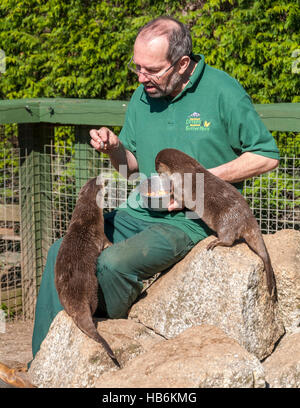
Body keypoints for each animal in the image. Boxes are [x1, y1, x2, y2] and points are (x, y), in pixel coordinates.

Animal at [54, 177, 120, 368]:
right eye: (103, 181)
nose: (104, 177)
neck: (85, 217)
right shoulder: (100, 235)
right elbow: (107, 243)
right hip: (92, 287)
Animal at [156, 147, 278, 300]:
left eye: (156, 165)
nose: (155, 171)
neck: (183, 168)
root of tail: (248, 218)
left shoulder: (180, 185)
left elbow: (179, 198)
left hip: (225, 221)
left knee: (229, 239)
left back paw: (216, 242)